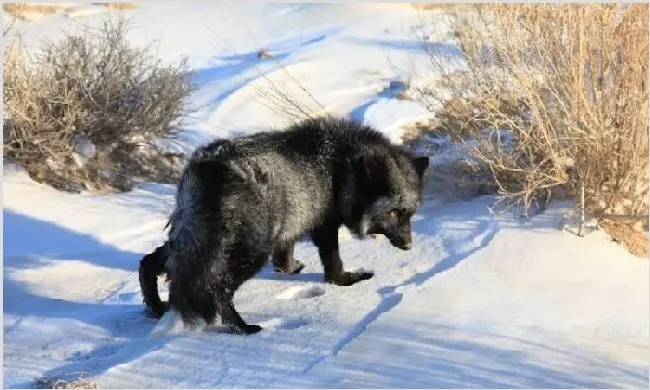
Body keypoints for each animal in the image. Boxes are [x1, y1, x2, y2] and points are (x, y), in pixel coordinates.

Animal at [139, 116, 428, 336]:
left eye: (410, 213)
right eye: (393, 212)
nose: (408, 245)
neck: (341, 169)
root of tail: (210, 167)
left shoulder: (290, 226)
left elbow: (285, 256)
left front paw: (288, 269)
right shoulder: (324, 226)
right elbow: (333, 262)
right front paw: (346, 280)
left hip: (194, 241)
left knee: (150, 261)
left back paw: (155, 307)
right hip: (248, 252)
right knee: (218, 289)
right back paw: (242, 328)